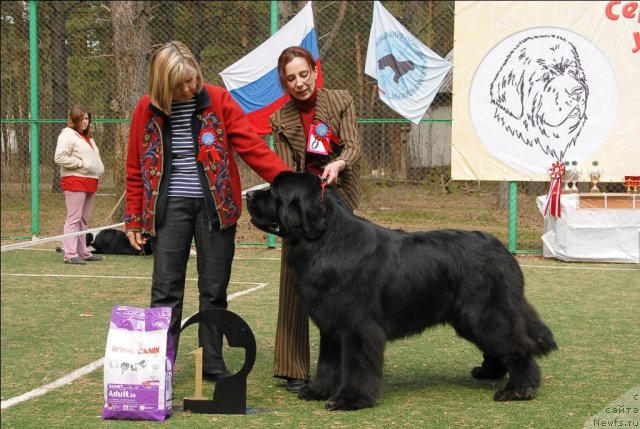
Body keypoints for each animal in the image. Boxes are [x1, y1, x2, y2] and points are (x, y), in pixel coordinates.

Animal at [248, 171, 556, 412]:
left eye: (273, 191)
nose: (249, 196)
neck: (324, 241)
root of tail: (503, 251)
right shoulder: (331, 325)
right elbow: (328, 363)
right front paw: (317, 391)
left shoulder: (358, 326)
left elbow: (356, 366)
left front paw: (350, 399)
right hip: (471, 317)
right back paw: (490, 372)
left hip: (482, 313)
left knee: (519, 346)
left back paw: (519, 389)